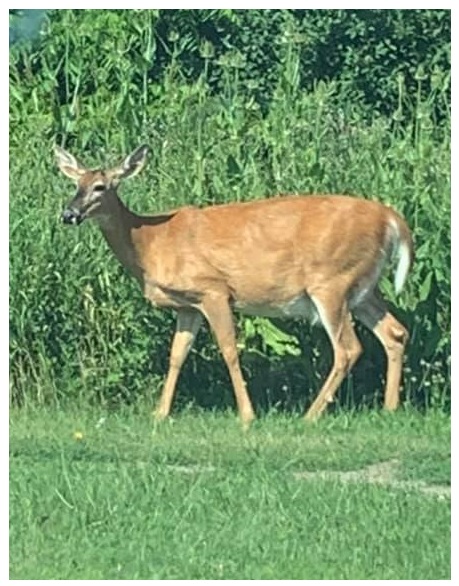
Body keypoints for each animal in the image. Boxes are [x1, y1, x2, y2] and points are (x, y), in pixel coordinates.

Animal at [55, 143, 416, 422]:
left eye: (101, 187)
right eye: (76, 184)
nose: (69, 214)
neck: (150, 243)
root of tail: (392, 219)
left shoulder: (213, 289)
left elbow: (229, 350)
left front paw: (247, 415)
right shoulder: (188, 305)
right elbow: (177, 355)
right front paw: (159, 413)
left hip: (331, 283)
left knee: (348, 348)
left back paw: (311, 415)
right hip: (363, 288)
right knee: (395, 332)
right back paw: (390, 409)